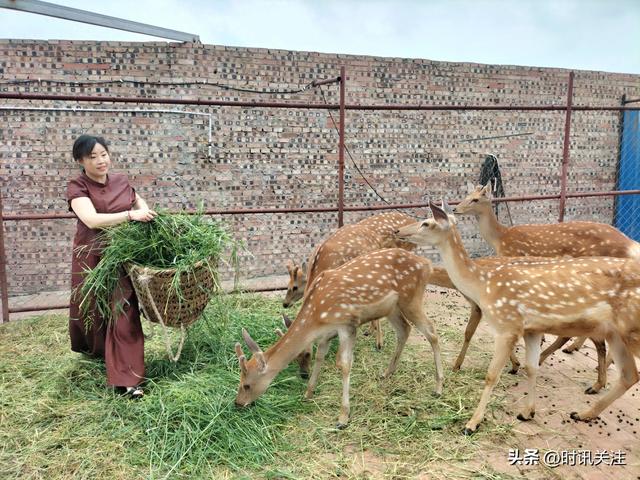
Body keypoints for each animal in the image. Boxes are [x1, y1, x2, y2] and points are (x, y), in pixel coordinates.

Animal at [234, 248, 440, 428]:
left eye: (246, 385)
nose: (237, 403)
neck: (317, 316)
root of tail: (427, 263)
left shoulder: (347, 324)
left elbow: (344, 364)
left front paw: (343, 417)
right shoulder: (326, 334)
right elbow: (320, 357)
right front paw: (308, 393)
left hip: (411, 298)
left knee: (432, 332)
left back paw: (438, 388)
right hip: (392, 307)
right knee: (405, 329)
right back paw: (386, 372)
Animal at [396, 202, 640, 436]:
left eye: (426, 223)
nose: (399, 230)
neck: (482, 286)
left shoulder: (507, 325)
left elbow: (491, 375)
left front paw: (472, 423)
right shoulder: (531, 329)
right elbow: (531, 368)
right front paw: (527, 412)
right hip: (615, 333)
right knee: (629, 375)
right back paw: (583, 412)